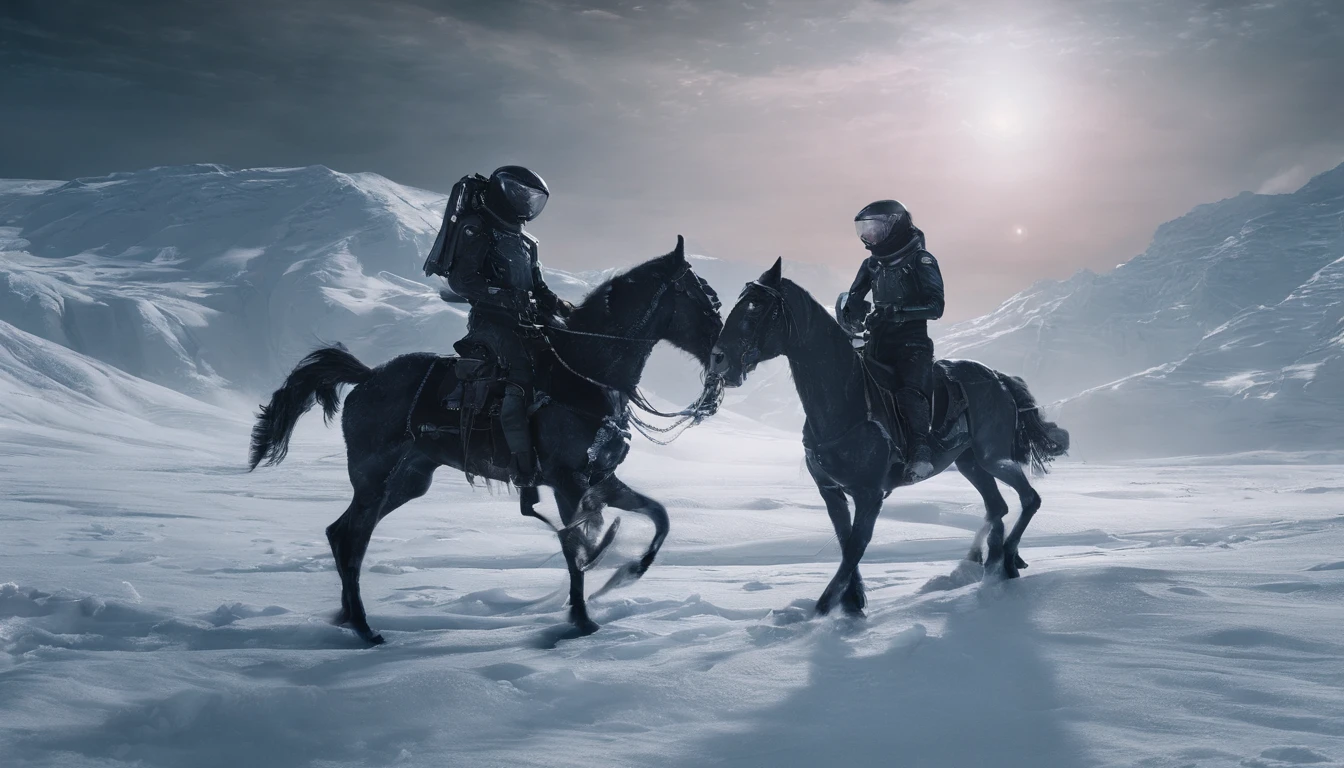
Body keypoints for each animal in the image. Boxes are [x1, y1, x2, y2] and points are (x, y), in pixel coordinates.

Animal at [247, 239, 720, 642]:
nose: (724, 351)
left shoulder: (600, 480)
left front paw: (629, 572)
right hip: (373, 480)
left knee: (342, 533)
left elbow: (658, 516)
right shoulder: (568, 483)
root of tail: (366, 378)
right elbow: (575, 549)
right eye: (703, 298)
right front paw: (582, 618)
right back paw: (364, 627)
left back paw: (349, 617)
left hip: (406, 482)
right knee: (351, 539)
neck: (586, 375)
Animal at [709, 260, 1064, 616]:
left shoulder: (870, 494)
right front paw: (852, 602)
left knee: (1028, 499)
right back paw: (987, 562)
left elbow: (856, 546)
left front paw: (823, 609)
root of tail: (999, 378)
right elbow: (845, 542)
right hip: (970, 463)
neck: (845, 401)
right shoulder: (831, 491)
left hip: (992, 456)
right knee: (997, 507)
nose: (718, 358)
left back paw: (1006, 559)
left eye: (757, 307)